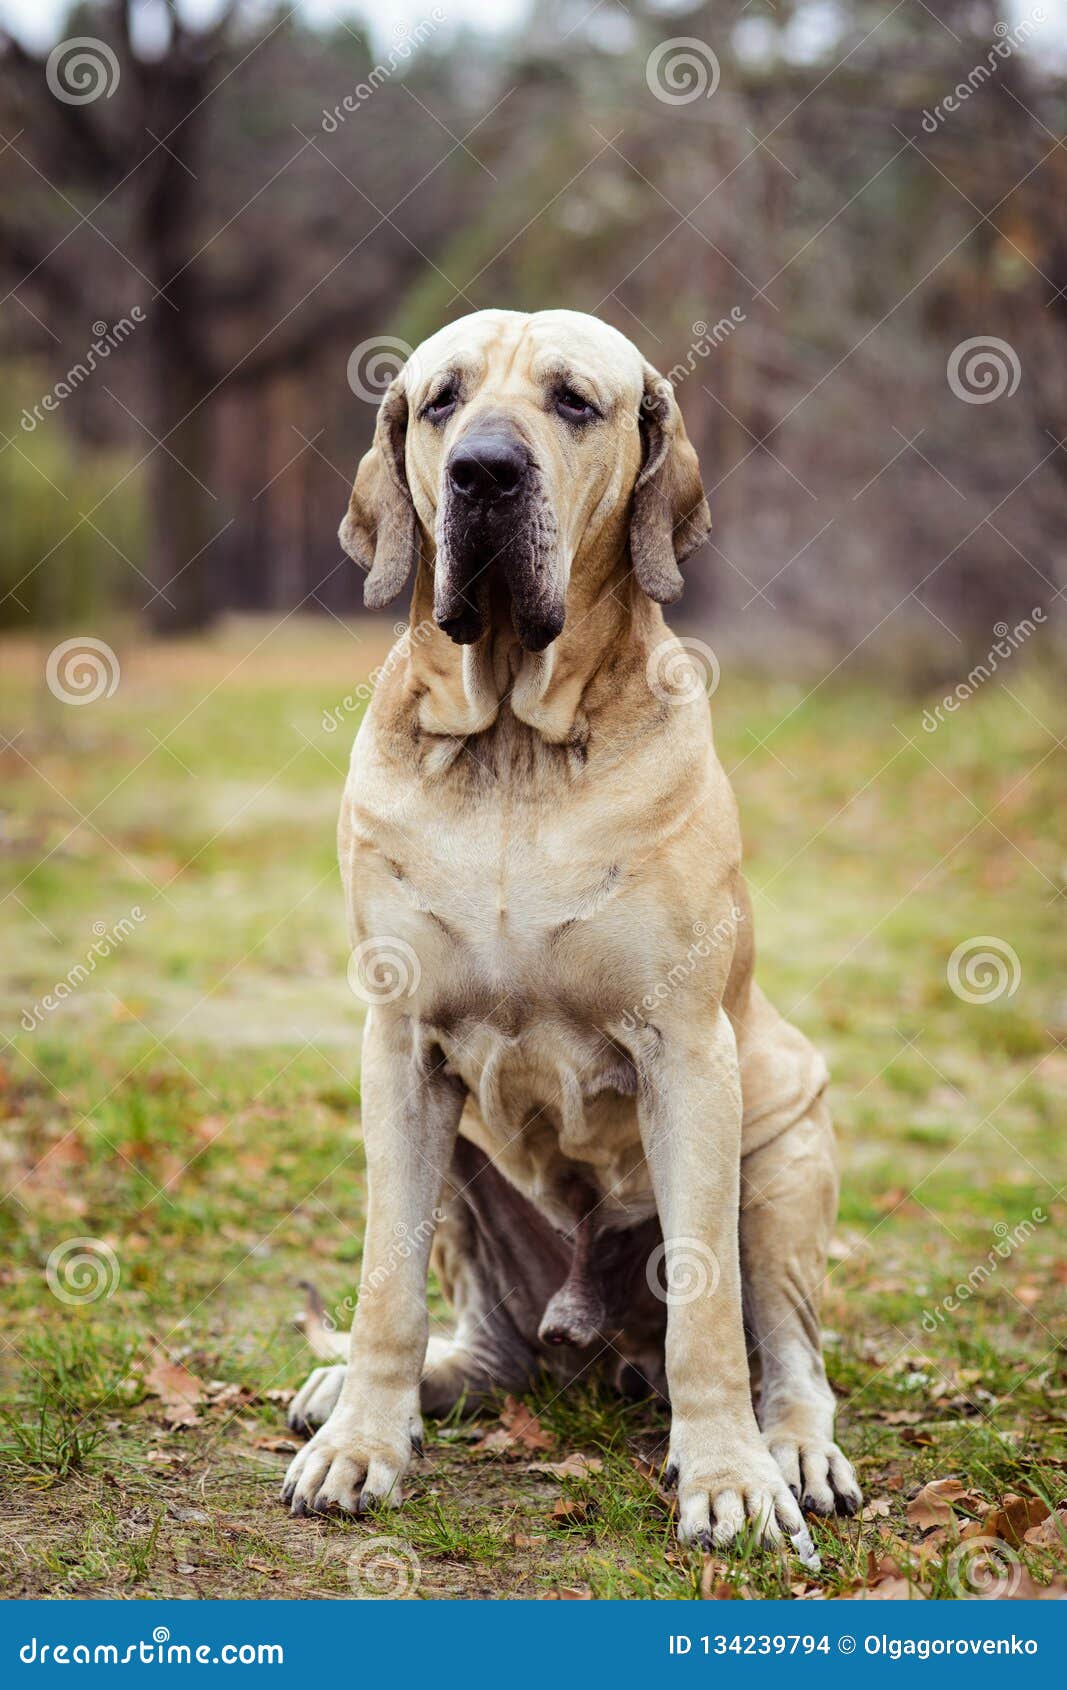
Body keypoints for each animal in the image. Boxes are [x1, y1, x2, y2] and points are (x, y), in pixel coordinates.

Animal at [279, 310, 865, 1548]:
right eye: (441, 401)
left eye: (573, 403)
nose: (483, 473)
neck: (512, 742)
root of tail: (589, 1346)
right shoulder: (398, 1051)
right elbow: (383, 1285)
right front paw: (361, 1440)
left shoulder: (689, 1053)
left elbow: (708, 1316)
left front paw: (728, 1475)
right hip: (463, 1173)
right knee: (486, 1345)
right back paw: (386, 1388)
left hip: (784, 1155)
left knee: (786, 1350)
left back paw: (791, 1448)